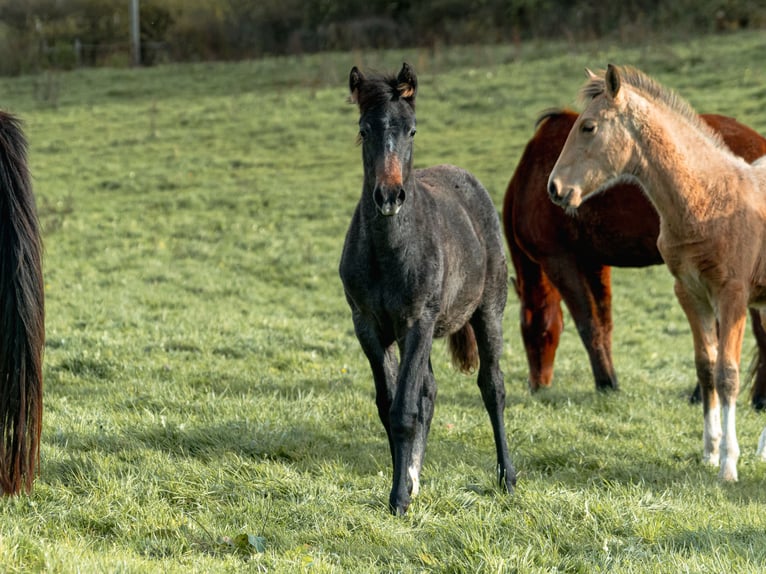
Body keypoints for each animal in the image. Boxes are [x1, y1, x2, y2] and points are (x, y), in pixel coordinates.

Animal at [339, 63, 515, 514]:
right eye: (364, 129)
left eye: (412, 130)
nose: (389, 196)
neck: (390, 251)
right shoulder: (369, 326)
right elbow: (390, 405)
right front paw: (407, 482)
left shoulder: (417, 321)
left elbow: (404, 409)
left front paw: (399, 497)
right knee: (430, 391)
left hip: (487, 312)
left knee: (492, 386)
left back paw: (508, 477)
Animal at [504, 109, 766, 407]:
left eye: (535, 334)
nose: (536, 384)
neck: (530, 178)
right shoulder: (594, 264)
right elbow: (603, 322)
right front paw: (610, 382)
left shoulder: (560, 261)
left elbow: (587, 324)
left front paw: (605, 382)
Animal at [547, 64, 766, 481]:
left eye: (588, 127)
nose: (555, 188)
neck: (707, 200)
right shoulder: (690, 293)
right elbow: (705, 368)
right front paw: (710, 451)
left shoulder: (732, 295)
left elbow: (727, 374)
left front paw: (729, 464)